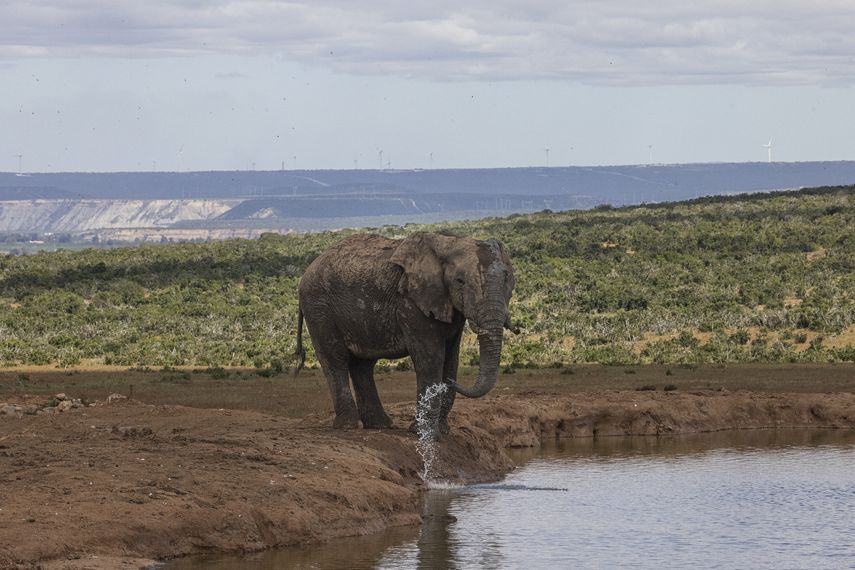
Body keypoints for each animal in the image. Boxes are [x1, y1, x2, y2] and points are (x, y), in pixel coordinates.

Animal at [293, 231, 517, 432]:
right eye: (460, 281)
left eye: (507, 279)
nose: (454, 384)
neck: (450, 241)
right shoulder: (411, 303)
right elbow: (430, 359)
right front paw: (421, 432)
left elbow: (451, 358)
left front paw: (442, 431)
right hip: (318, 308)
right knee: (335, 358)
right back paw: (347, 426)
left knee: (363, 365)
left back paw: (380, 425)